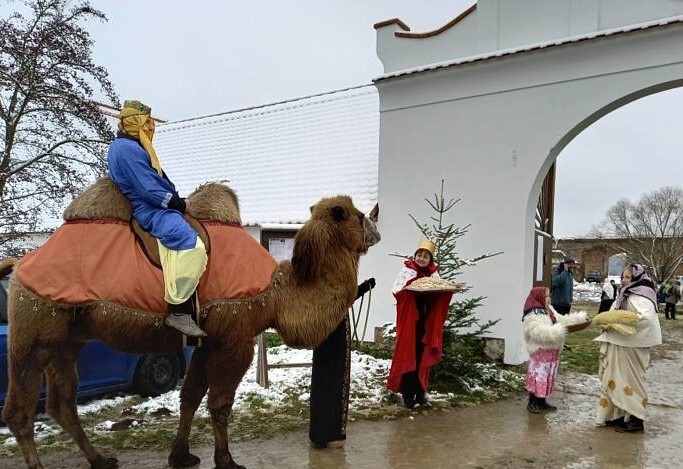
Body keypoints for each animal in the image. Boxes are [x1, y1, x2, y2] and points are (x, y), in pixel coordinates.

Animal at [1, 177, 380, 466]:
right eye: (357, 215)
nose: (376, 228)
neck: (278, 292)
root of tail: (19, 265)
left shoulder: (207, 340)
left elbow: (191, 396)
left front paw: (181, 456)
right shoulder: (235, 338)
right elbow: (219, 403)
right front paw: (226, 460)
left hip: (68, 337)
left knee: (61, 403)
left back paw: (100, 459)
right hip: (35, 324)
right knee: (20, 409)